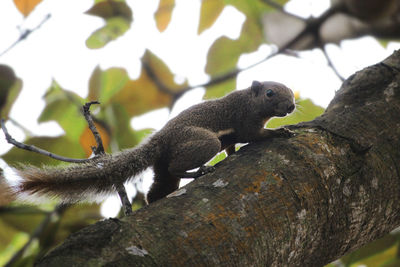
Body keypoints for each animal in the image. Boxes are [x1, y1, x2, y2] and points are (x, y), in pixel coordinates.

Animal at [14, 80, 296, 204]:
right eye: (270, 93)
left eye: (292, 92)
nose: (292, 106)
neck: (250, 101)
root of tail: (159, 141)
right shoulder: (245, 120)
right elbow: (253, 136)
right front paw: (280, 131)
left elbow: (231, 146)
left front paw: (233, 152)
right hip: (200, 142)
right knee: (176, 168)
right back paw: (199, 171)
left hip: (162, 169)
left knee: (159, 186)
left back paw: (154, 200)